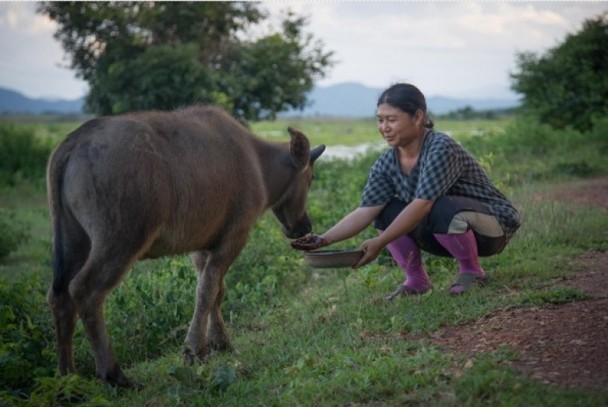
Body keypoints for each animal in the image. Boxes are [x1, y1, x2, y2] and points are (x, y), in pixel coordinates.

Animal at [47, 105, 326, 386]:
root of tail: (69, 147)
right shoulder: (234, 236)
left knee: (60, 296)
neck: (261, 167)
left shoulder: (203, 245)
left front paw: (218, 342)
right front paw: (195, 349)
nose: (304, 226)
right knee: (85, 290)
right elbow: (206, 291)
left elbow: (216, 291)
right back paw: (114, 374)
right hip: (122, 238)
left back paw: (67, 376)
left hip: (74, 239)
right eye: (311, 178)